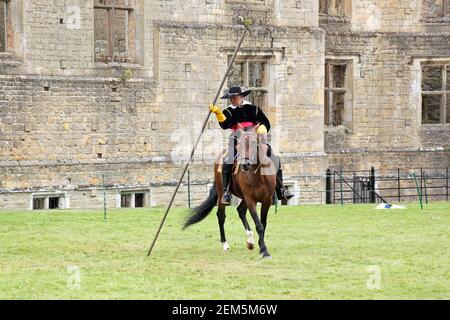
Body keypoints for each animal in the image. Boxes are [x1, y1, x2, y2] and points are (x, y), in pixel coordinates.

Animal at [181, 124, 276, 258]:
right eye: (239, 144)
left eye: (253, 142)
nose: (245, 165)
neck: (259, 175)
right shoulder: (250, 200)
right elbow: (259, 225)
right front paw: (264, 250)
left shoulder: (266, 200)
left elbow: (263, 223)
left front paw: (261, 246)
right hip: (223, 194)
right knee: (221, 216)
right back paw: (225, 244)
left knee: (240, 211)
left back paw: (250, 240)